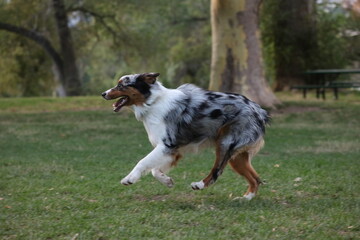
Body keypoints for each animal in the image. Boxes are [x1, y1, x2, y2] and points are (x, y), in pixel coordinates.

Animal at [101, 72, 270, 200]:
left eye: (121, 85)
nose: (103, 93)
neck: (152, 102)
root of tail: (259, 110)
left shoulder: (167, 145)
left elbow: (142, 162)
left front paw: (130, 179)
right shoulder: (173, 151)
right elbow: (155, 170)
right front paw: (167, 181)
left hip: (225, 143)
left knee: (217, 171)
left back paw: (200, 184)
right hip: (237, 157)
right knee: (255, 179)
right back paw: (246, 198)